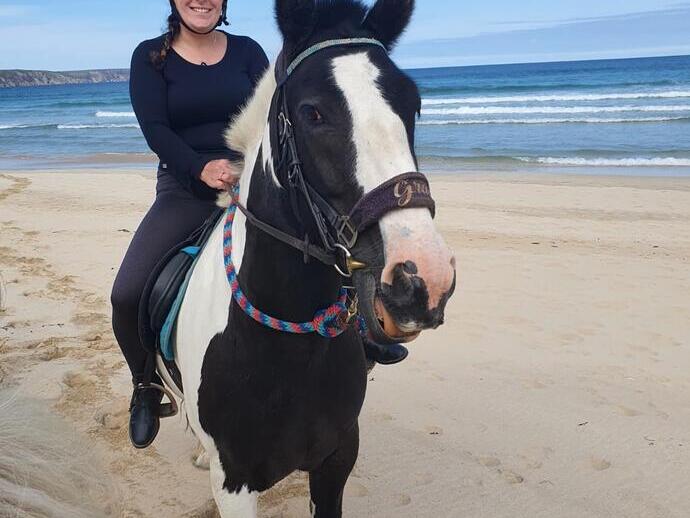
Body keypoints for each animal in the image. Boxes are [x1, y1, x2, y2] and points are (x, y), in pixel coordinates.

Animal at [169, 0, 456, 515]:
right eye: (313, 113)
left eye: (413, 104)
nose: (421, 279)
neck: (288, 341)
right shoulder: (234, 483)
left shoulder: (336, 459)